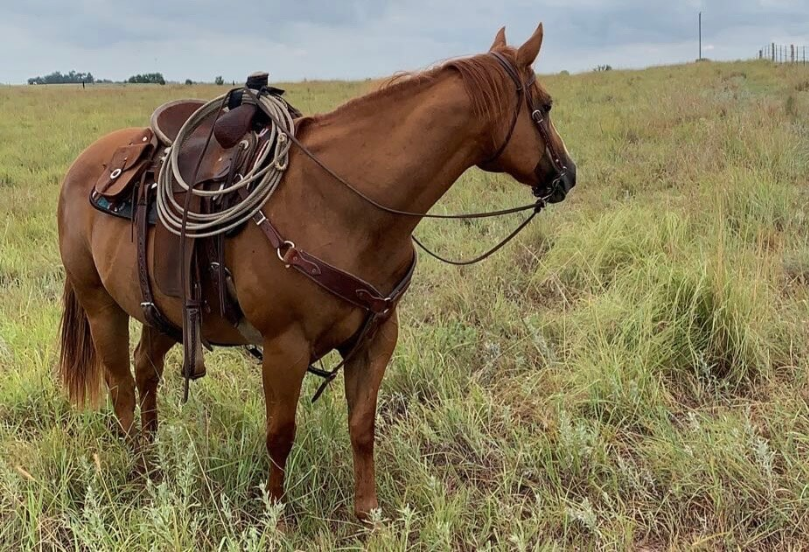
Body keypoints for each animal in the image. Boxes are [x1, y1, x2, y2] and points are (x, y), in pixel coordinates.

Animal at [56, 23, 576, 520]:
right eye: (547, 105)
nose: (567, 175)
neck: (343, 204)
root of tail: (87, 165)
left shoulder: (377, 336)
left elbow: (362, 426)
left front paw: (368, 515)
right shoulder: (285, 347)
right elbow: (280, 434)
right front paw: (277, 516)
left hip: (162, 312)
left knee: (146, 368)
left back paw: (154, 455)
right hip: (100, 304)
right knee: (120, 385)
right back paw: (141, 471)